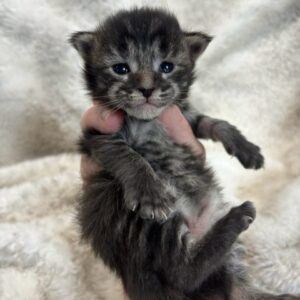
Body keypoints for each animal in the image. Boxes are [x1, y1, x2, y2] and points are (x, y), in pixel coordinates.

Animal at [71, 6, 300, 300]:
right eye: (121, 69)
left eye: (166, 66)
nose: (147, 89)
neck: (148, 120)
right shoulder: (98, 137)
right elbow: (130, 157)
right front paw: (150, 192)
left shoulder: (184, 114)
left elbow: (213, 122)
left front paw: (245, 147)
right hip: (140, 222)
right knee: (182, 271)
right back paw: (236, 218)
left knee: (233, 286)